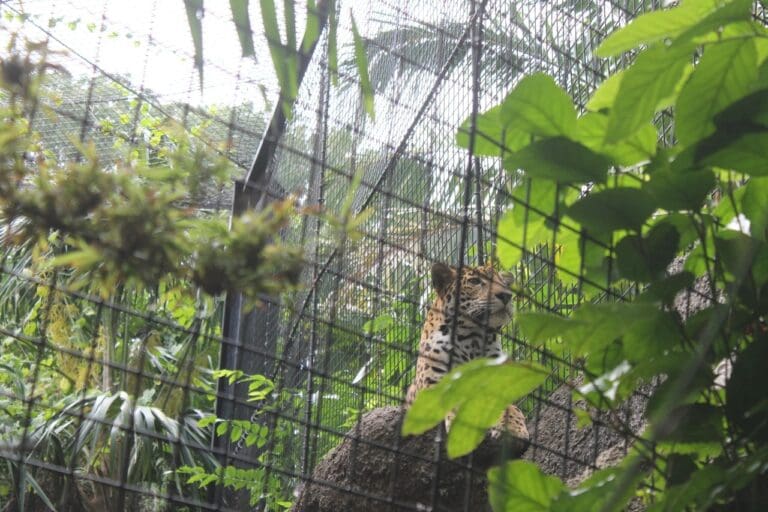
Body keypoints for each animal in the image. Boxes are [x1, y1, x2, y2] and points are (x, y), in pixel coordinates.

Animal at [405, 262, 529, 442]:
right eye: (475, 281)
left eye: (504, 284)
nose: (506, 296)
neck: (472, 339)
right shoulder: (433, 384)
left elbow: (510, 407)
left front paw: (513, 428)